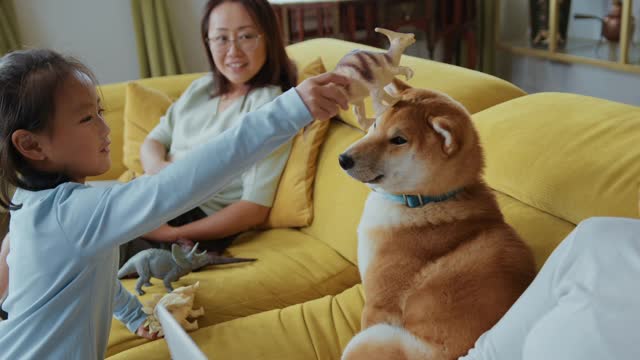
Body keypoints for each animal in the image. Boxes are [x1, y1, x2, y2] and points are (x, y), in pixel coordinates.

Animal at [340, 80, 536, 358]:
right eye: (376, 124)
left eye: (398, 140)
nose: (342, 159)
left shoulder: (379, 305)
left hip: (372, 339)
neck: (427, 200)